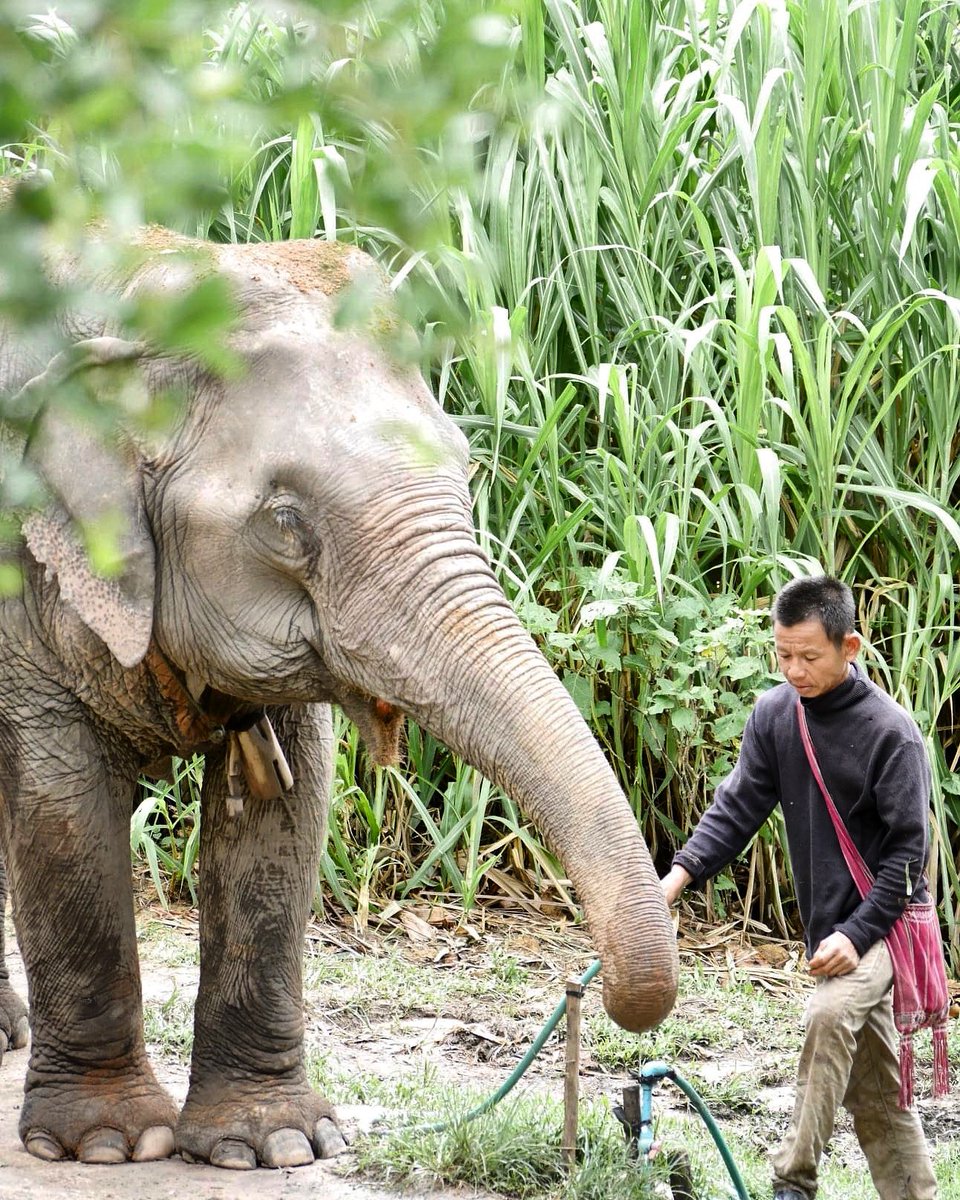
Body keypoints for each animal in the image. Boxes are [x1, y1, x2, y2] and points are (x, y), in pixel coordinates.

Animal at [0, 219, 679, 1169]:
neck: (153, 275)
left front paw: (273, 1145)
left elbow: (285, 815)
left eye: (468, 467)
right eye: (286, 520)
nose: (607, 1001)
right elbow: (63, 813)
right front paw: (106, 1145)